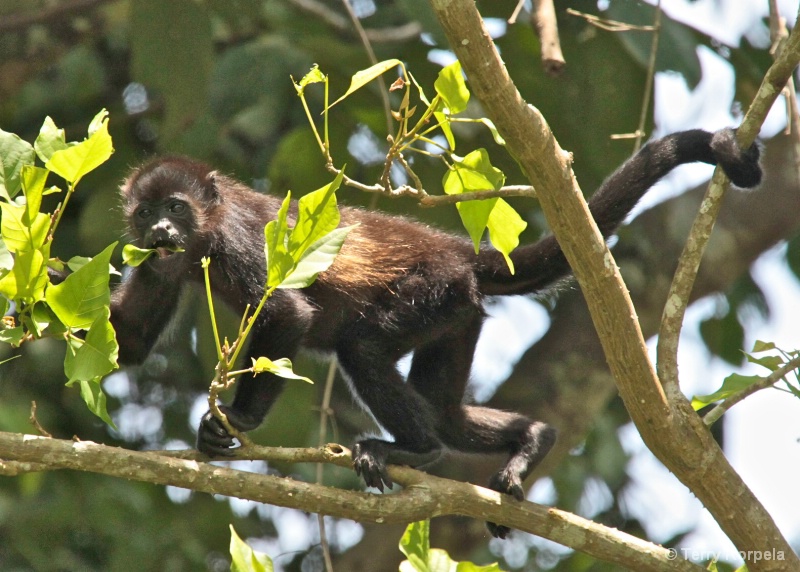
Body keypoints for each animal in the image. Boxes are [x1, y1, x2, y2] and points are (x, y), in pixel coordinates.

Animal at [109, 130, 760, 536]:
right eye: (145, 214)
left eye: (176, 206)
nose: (160, 230)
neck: (204, 236)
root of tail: (463, 255)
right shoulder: (163, 264)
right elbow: (130, 341)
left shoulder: (242, 238)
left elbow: (289, 315)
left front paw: (235, 421)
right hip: (460, 314)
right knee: (445, 410)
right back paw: (532, 440)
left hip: (432, 292)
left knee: (364, 351)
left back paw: (414, 450)